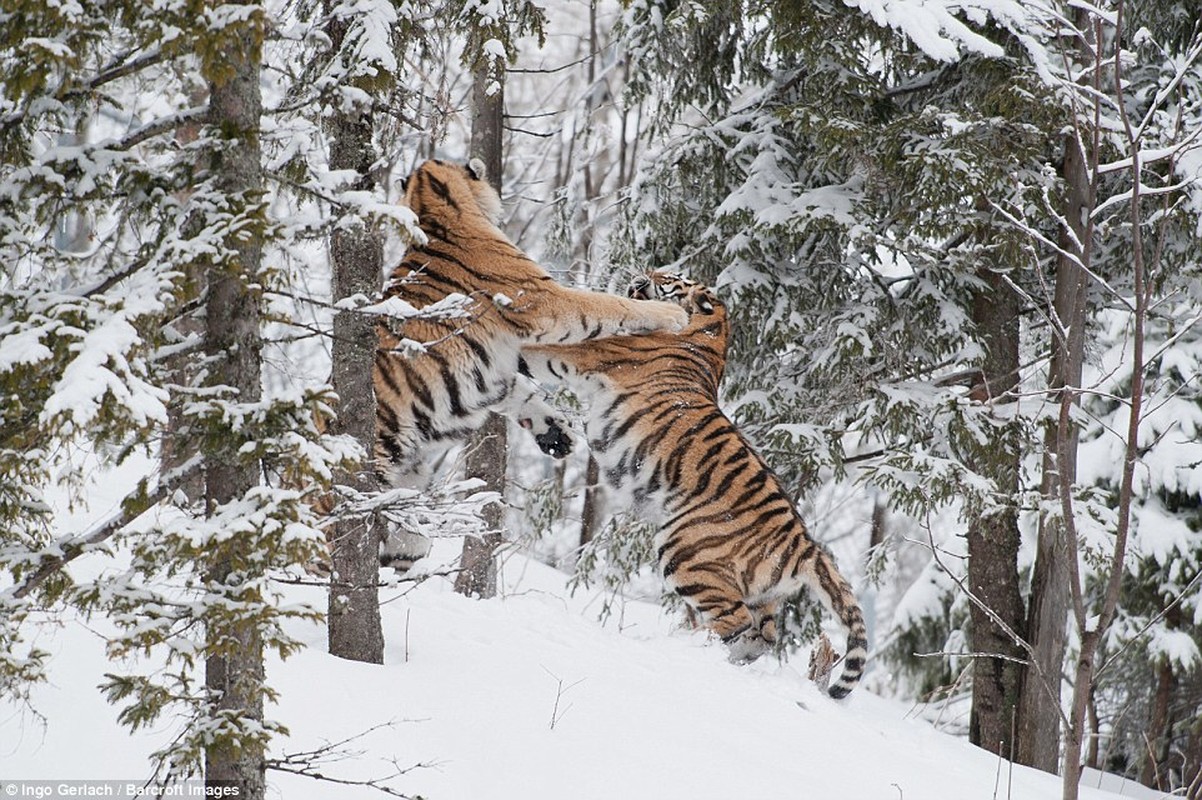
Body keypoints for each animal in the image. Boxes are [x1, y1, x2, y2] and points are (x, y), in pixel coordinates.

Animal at [370, 158, 687, 564]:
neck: (435, 214)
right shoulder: (546, 301)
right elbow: (610, 305)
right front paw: (671, 314)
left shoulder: (497, 367)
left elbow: (521, 393)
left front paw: (557, 434)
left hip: (409, 480)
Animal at [521, 271, 870, 696]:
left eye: (668, 279)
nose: (644, 274)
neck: (714, 330)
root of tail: (806, 545)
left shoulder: (587, 354)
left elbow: (532, 347)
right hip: (763, 595)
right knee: (765, 636)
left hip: (685, 551)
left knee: (734, 621)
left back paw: (687, 647)